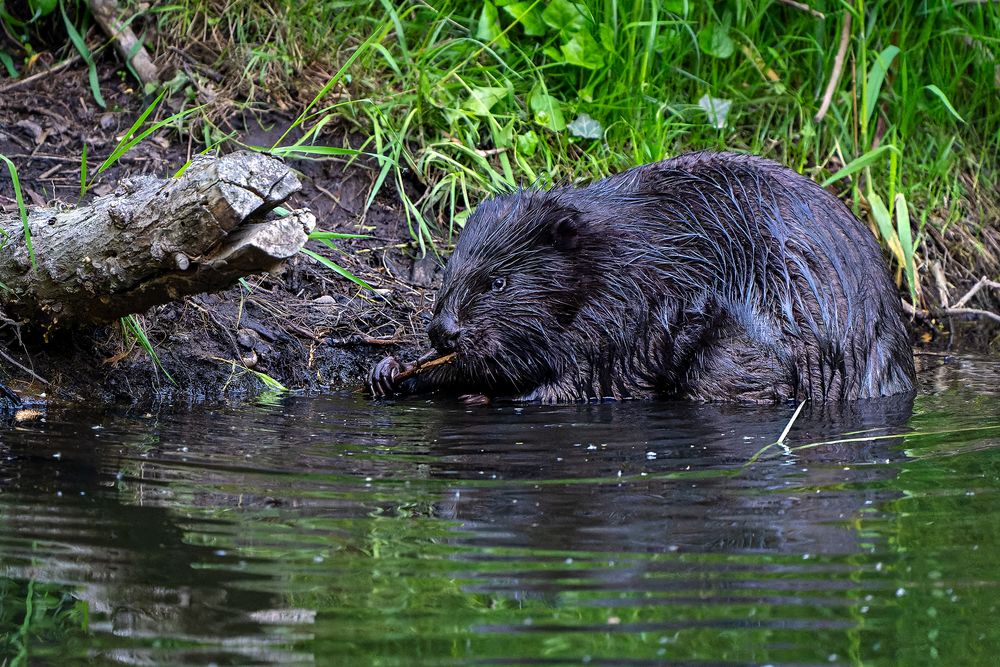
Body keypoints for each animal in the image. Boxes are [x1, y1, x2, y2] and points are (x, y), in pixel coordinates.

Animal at [368, 151, 916, 402]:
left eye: (498, 282)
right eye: (447, 271)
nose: (443, 331)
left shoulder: (626, 313)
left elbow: (579, 380)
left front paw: (483, 397)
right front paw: (390, 370)